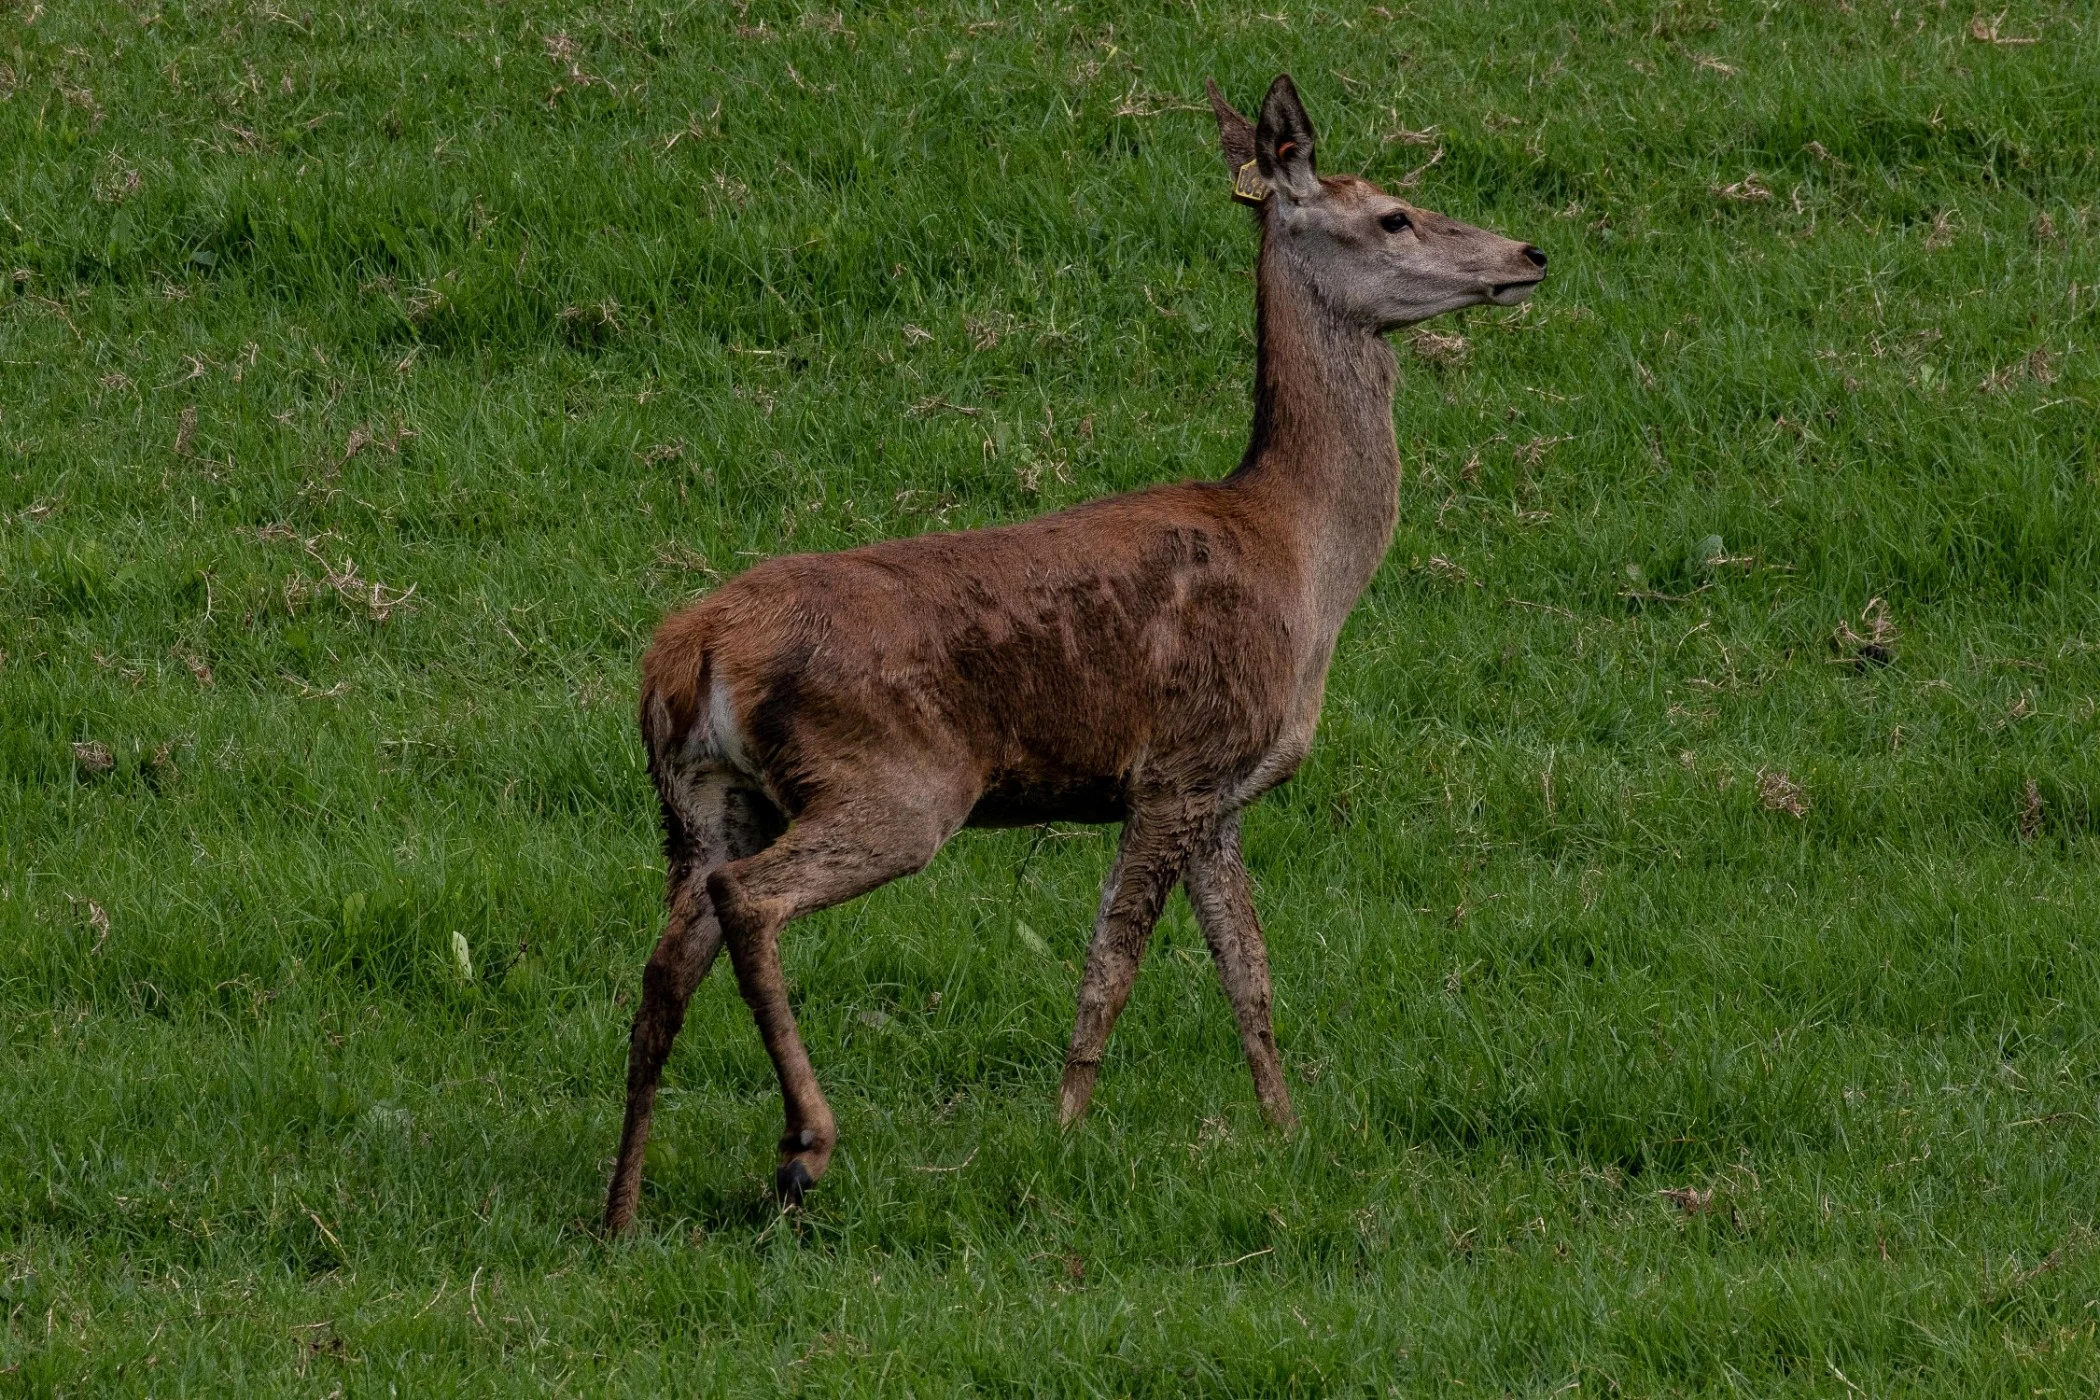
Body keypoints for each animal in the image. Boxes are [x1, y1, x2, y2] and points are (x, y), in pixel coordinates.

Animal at [603, 73, 1546, 1232]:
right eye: (1394, 215)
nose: (1528, 253)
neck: (1303, 557)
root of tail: (688, 651)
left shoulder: (1223, 790)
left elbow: (1249, 969)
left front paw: (1288, 1134)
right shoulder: (1180, 759)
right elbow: (1113, 959)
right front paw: (1064, 1131)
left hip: (702, 799)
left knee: (663, 966)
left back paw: (622, 1212)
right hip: (892, 779)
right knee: (753, 902)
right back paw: (804, 1146)